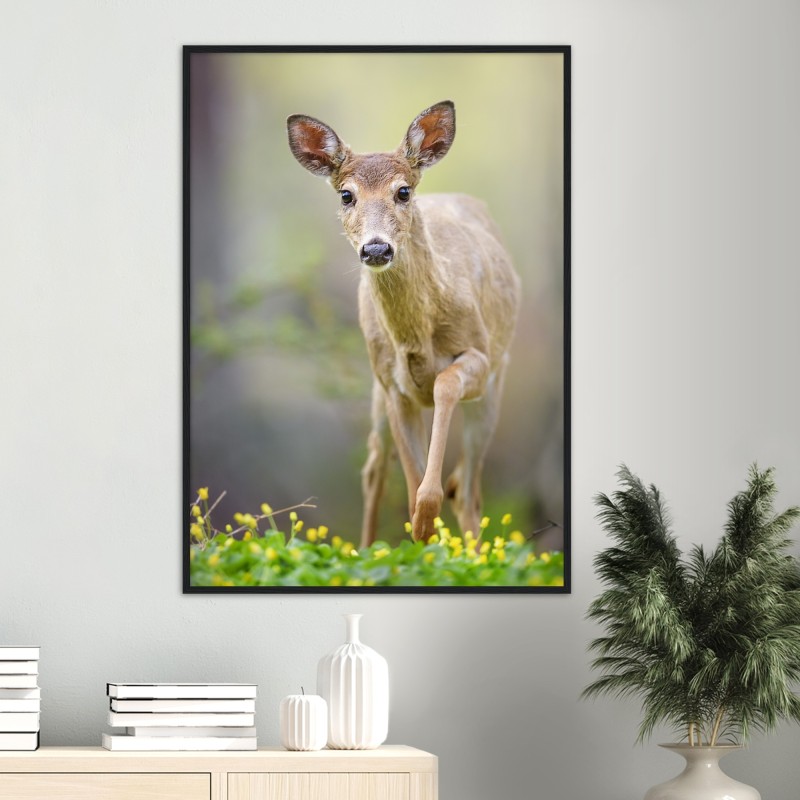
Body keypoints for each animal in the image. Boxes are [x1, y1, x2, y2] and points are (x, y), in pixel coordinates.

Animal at [287, 101, 521, 548]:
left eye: (403, 191)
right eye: (346, 194)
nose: (376, 248)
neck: (418, 336)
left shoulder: (480, 355)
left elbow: (445, 384)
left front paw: (427, 517)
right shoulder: (392, 383)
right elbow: (408, 480)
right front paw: (422, 528)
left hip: (495, 386)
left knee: (467, 487)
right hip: (377, 389)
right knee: (375, 466)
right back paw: (366, 548)